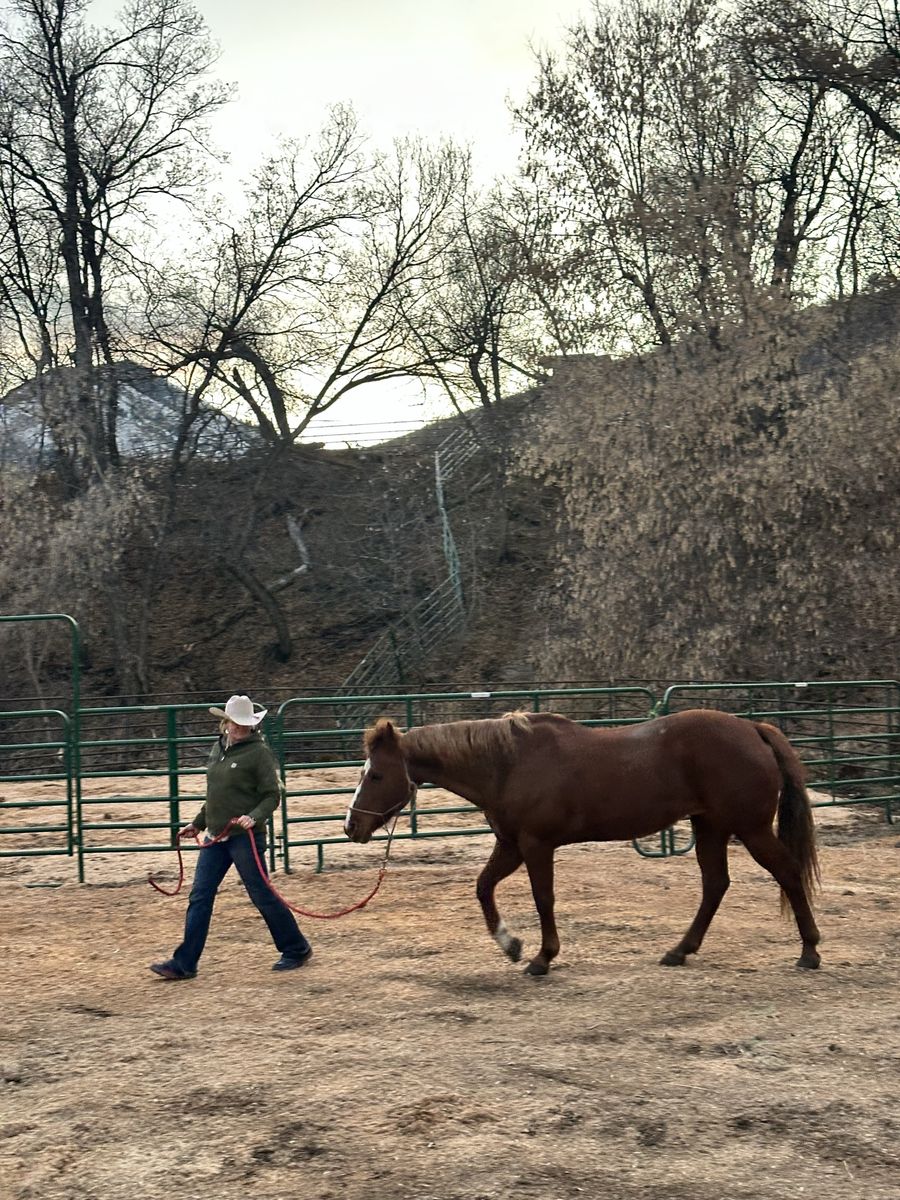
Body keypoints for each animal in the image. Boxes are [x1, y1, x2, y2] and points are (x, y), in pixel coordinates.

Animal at [343, 708, 821, 976]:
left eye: (377, 774)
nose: (351, 826)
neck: (510, 764)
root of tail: (753, 729)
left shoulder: (536, 845)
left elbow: (543, 899)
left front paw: (541, 957)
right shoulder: (511, 845)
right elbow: (483, 888)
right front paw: (511, 945)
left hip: (750, 829)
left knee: (787, 873)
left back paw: (809, 952)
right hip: (710, 829)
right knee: (715, 885)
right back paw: (679, 951)